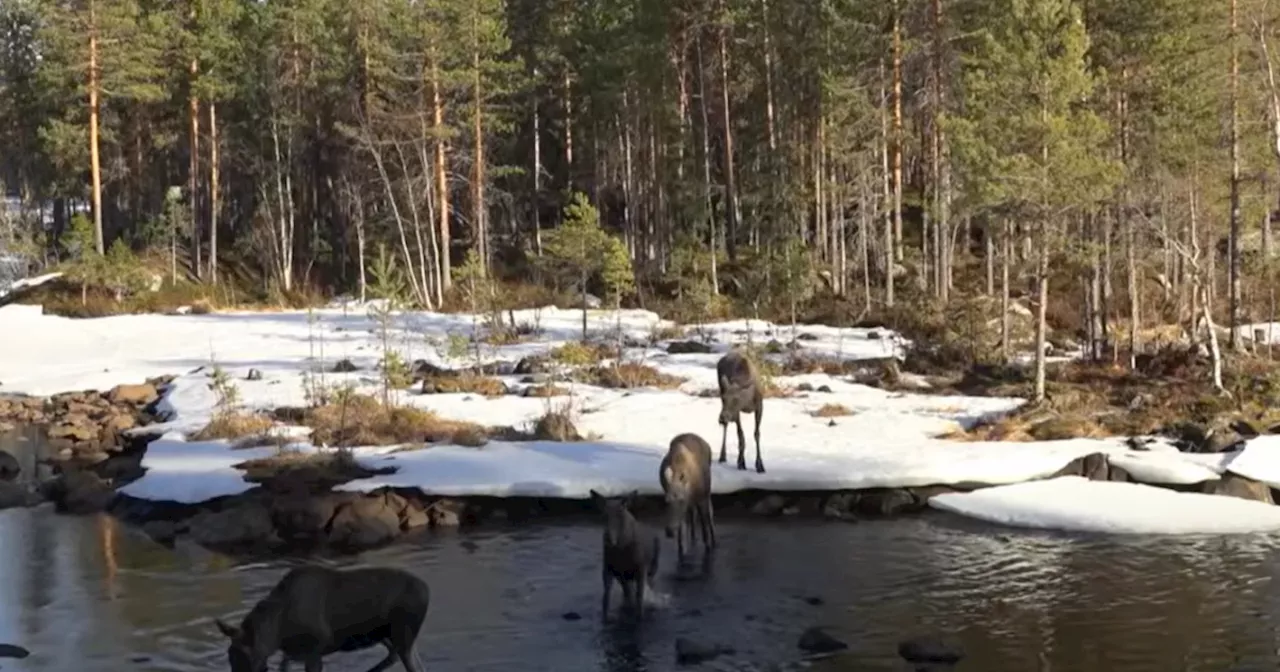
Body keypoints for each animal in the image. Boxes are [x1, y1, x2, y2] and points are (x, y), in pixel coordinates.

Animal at [212, 563, 427, 665]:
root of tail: (428, 590)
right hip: (385, 635)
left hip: (401, 632)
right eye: (229, 655)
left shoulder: (315, 649)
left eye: (246, 655)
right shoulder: (293, 652)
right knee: (398, 657)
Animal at [588, 486, 660, 619]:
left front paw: (639, 616)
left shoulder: (641, 567)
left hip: (653, 567)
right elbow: (606, 596)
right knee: (627, 591)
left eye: (621, 516)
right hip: (624, 576)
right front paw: (605, 617)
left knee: (648, 585)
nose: (608, 539)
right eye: (604, 516)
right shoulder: (609, 568)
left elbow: (639, 597)